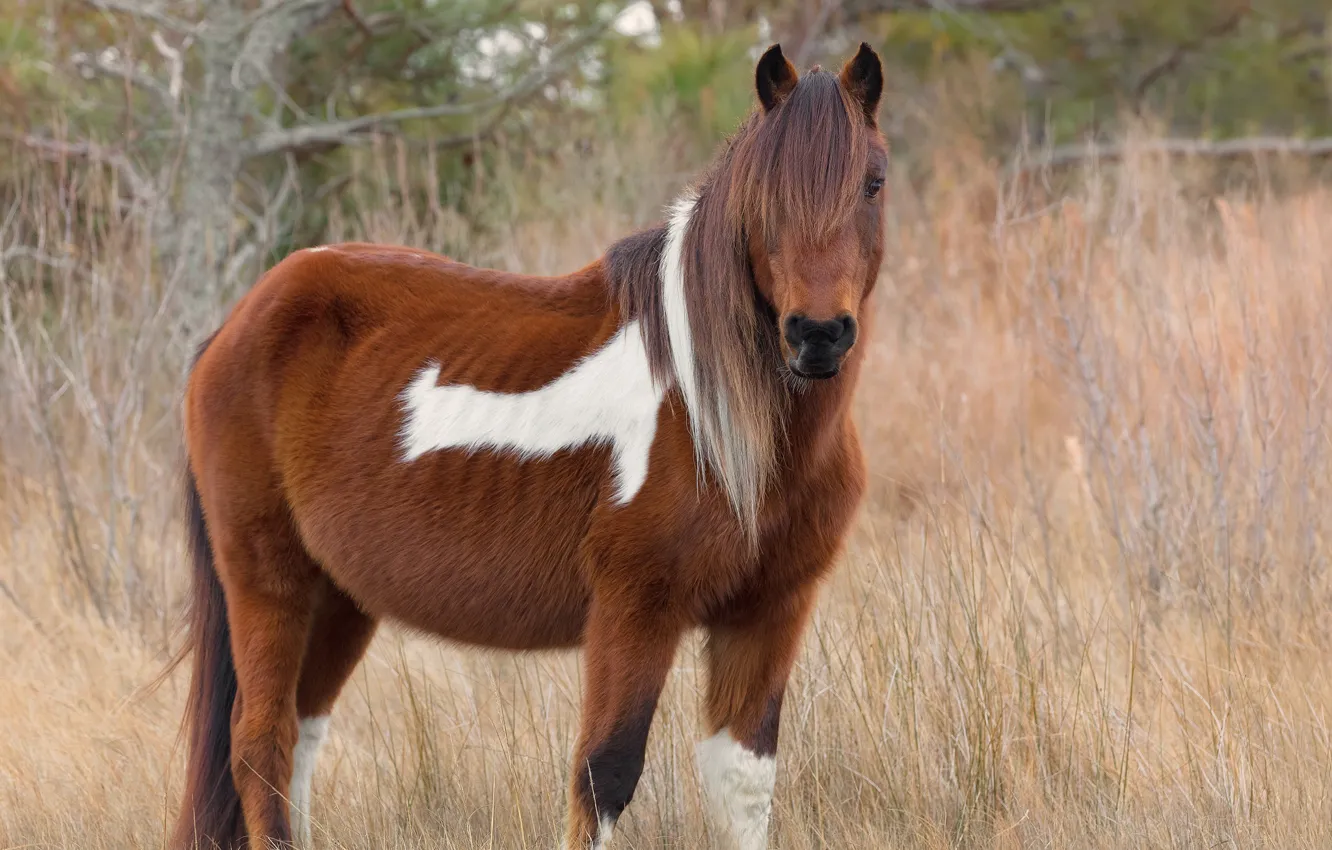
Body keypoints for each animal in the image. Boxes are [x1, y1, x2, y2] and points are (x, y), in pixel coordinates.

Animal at [171, 41, 889, 850]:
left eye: (873, 181)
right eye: (766, 194)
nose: (817, 335)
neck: (725, 421)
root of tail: (238, 321)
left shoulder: (768, 613)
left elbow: (741, 785)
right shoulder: (635, 610)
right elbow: (605, 773)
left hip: (340, 597)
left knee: (298, 739)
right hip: (268, 578)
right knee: (260, 742)